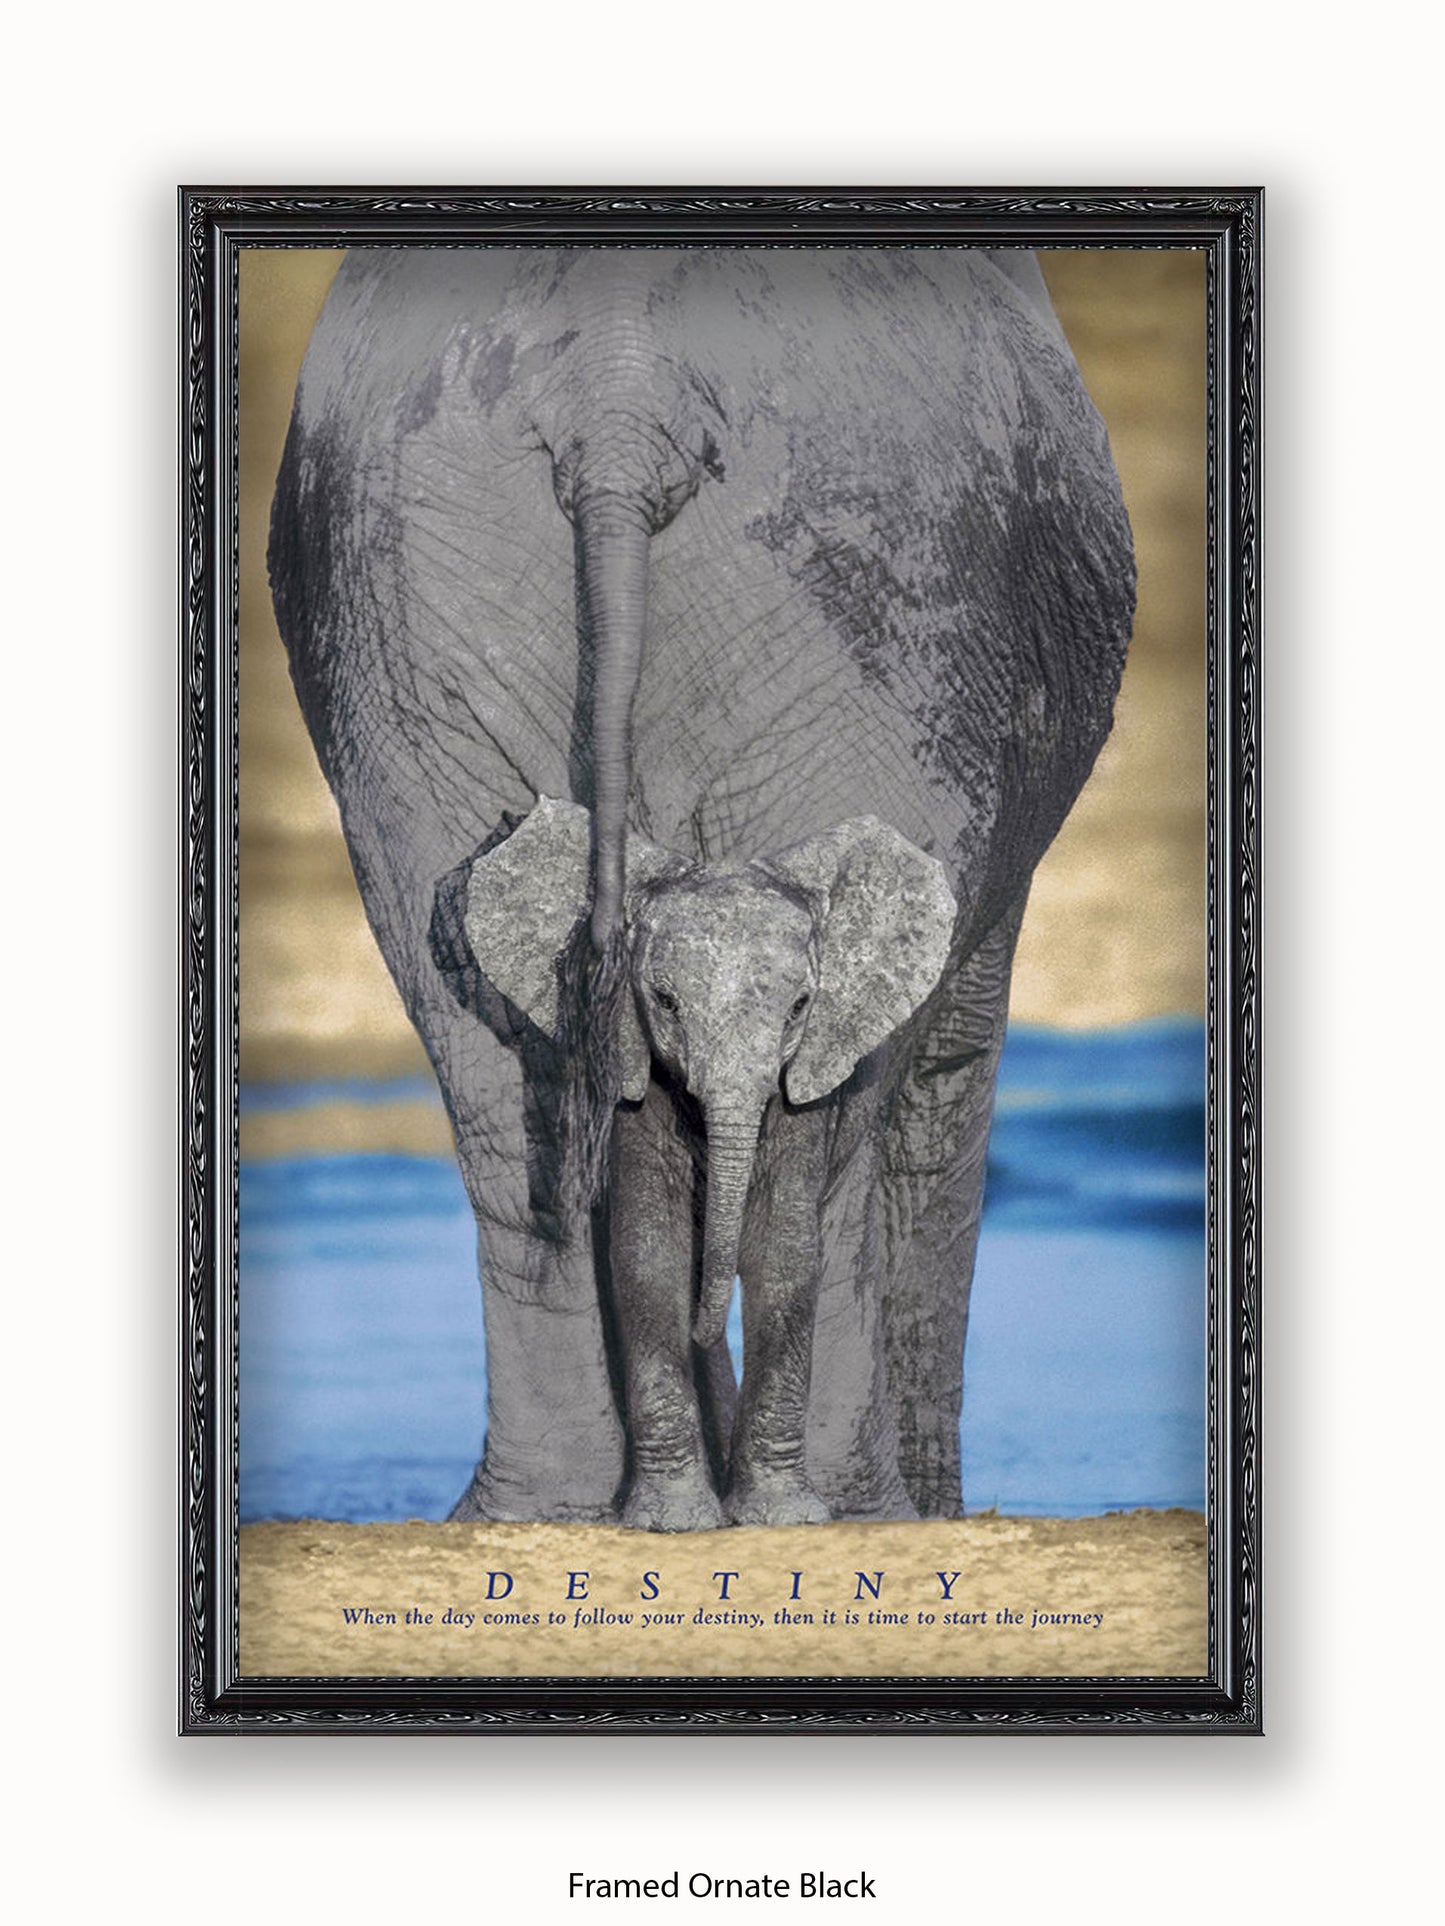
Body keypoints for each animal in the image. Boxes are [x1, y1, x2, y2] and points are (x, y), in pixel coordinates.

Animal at [461, 796, 956, 1529]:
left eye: (800, 1007)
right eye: (664, 1003)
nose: (708, 1329)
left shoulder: (802, 1087)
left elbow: (785, 1254)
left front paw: (783, 1517)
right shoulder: (629, 1071)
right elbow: (647, 1255)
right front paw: (672, 1520)